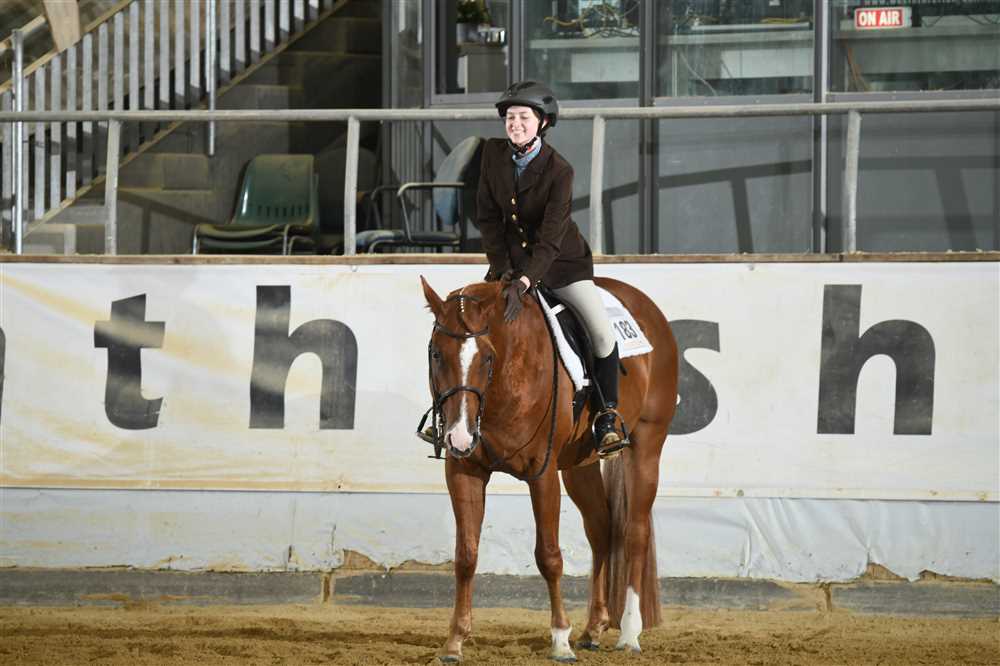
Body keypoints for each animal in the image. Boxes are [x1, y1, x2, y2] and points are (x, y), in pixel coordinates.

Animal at [420, 275, 678, 662]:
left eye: (487, 357)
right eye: (437, 354)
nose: (460, 436)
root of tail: (648, 308)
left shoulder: (542, 474)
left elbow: (549, 555)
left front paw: (559, 639)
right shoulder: (464, 470)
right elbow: (466, 555)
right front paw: (454, 641)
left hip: (646, 447)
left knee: (635, 532)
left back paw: (630, 632)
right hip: (578, 467)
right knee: (602, 530)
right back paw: (594, 627)